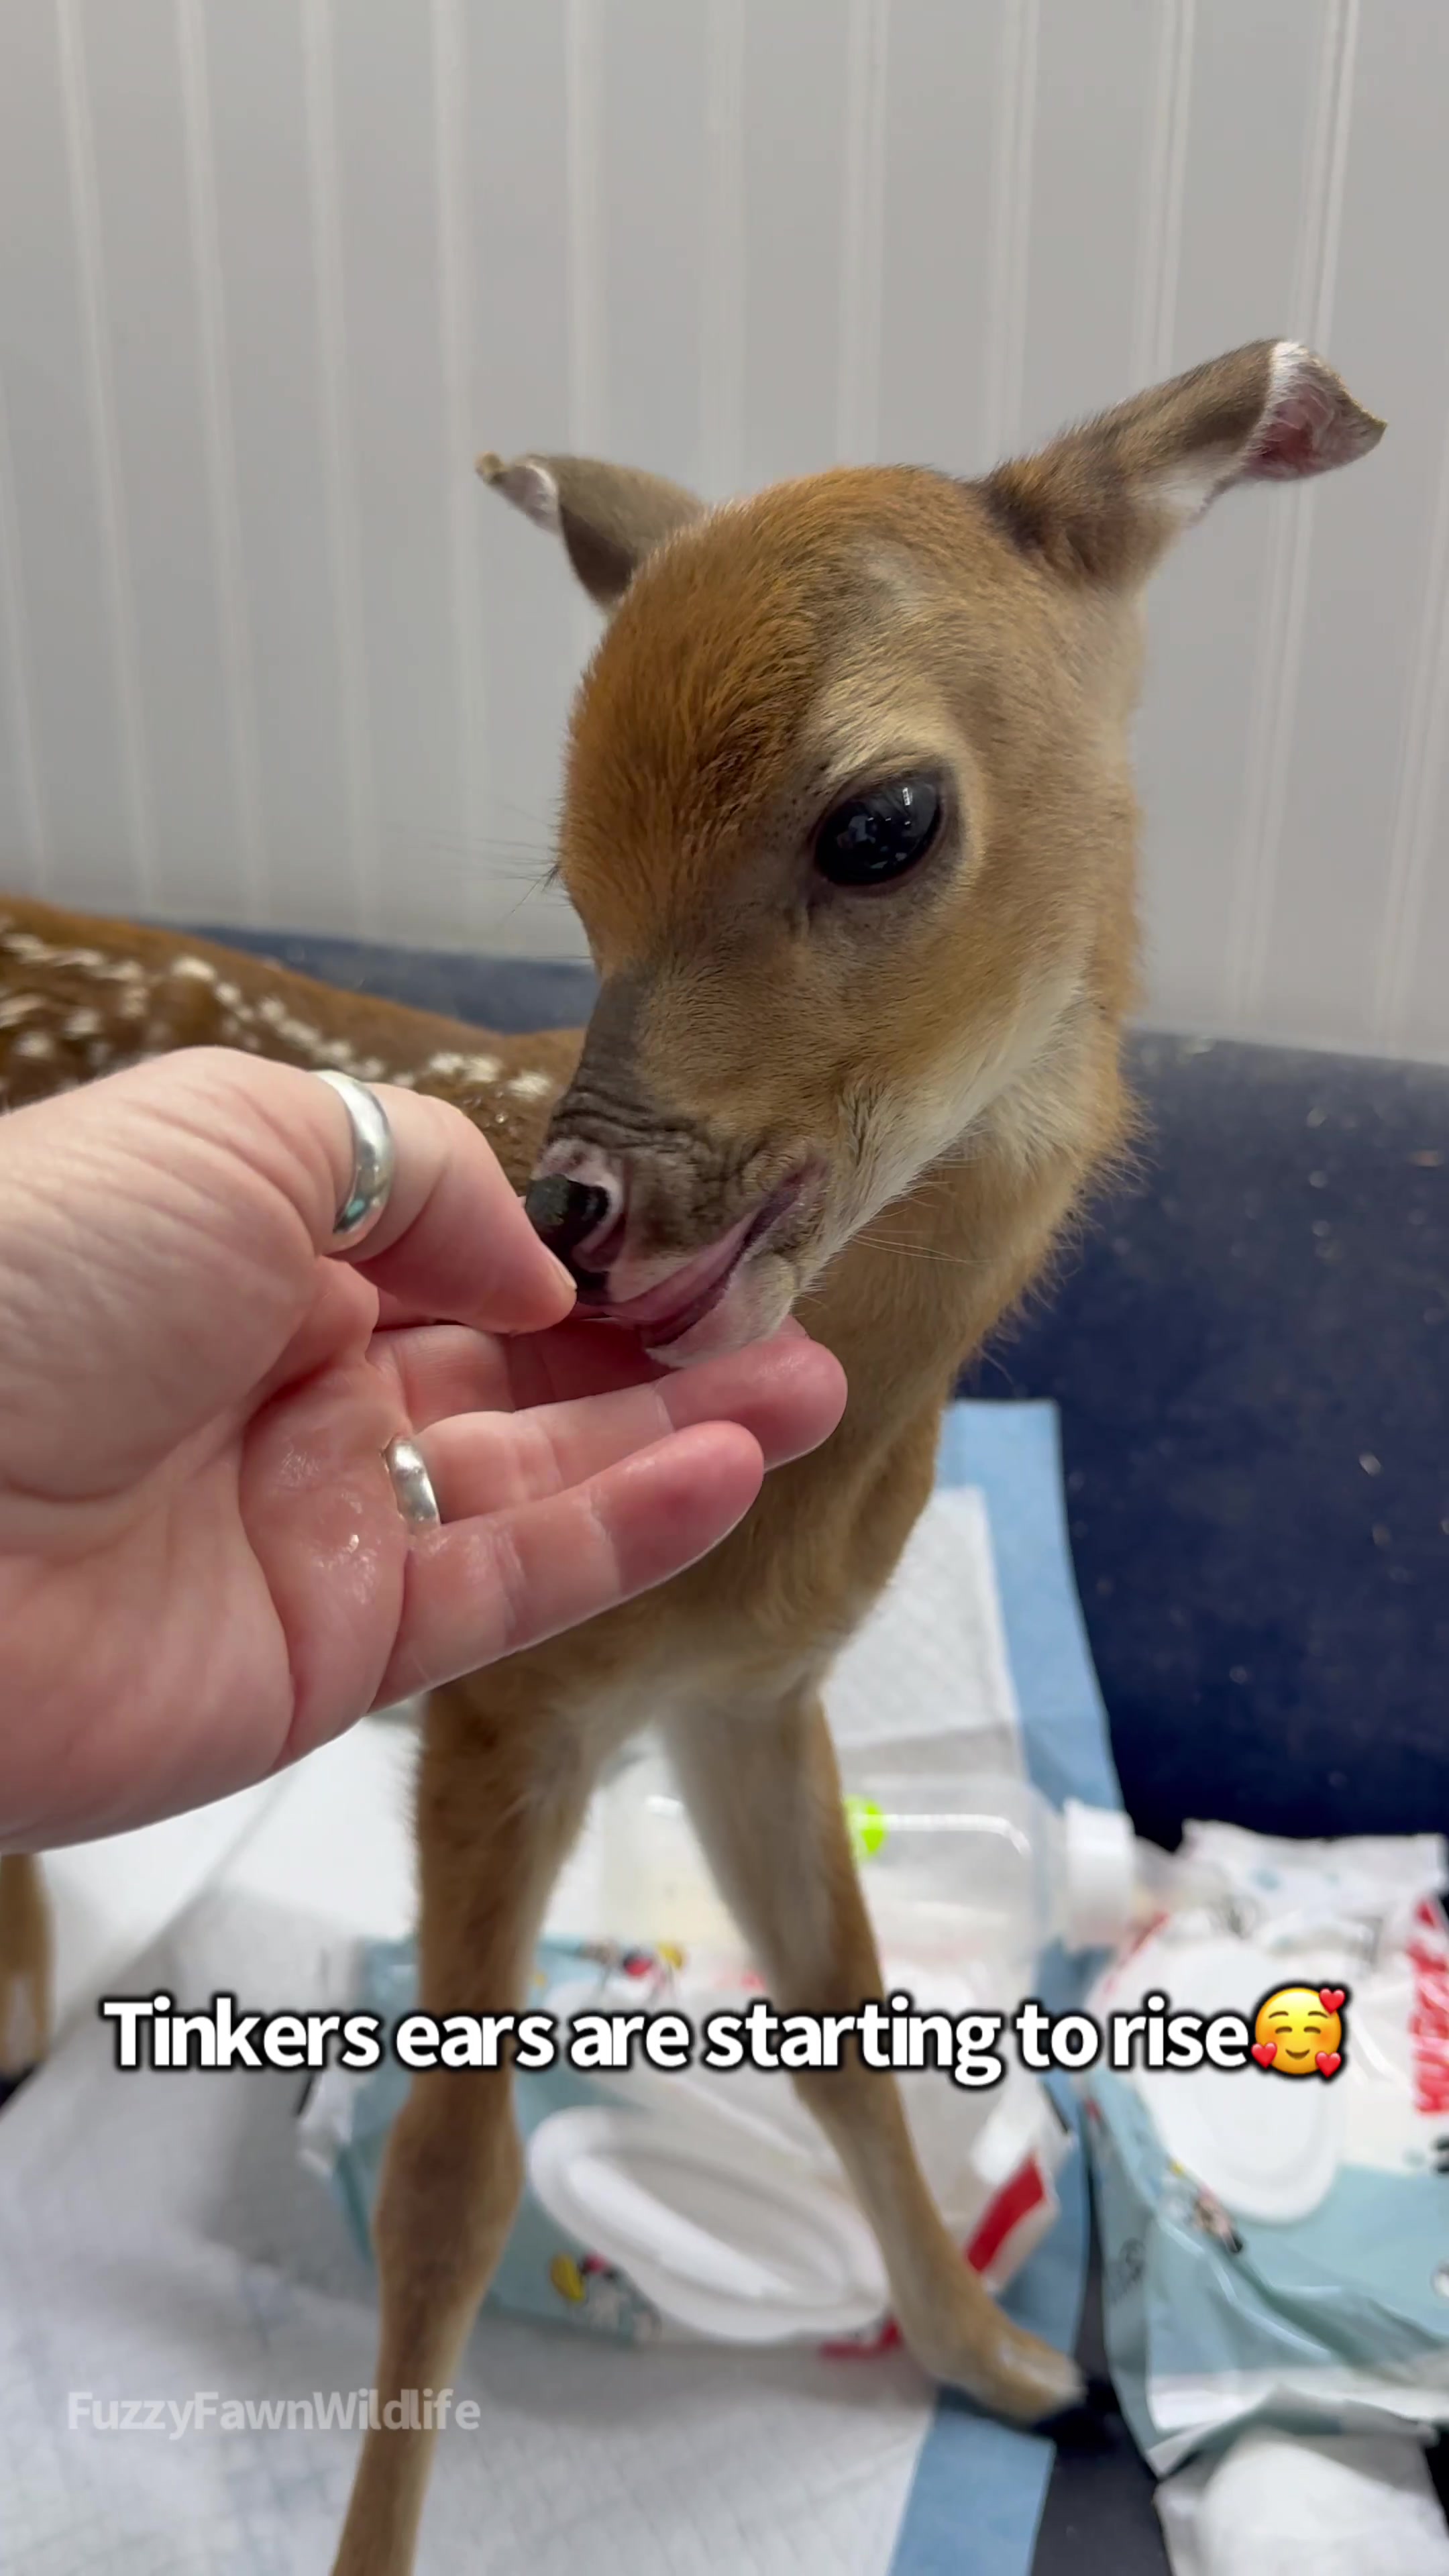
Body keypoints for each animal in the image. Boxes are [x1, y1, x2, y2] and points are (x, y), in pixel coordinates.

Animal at [0, 340, 1381, 2574]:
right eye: (573, 887)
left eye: (882, 819)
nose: (568, 1206)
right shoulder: (504, 1710)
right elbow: (449, 2187)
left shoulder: (743, 1696)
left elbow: (848, 2021)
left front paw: (1010, 2360)